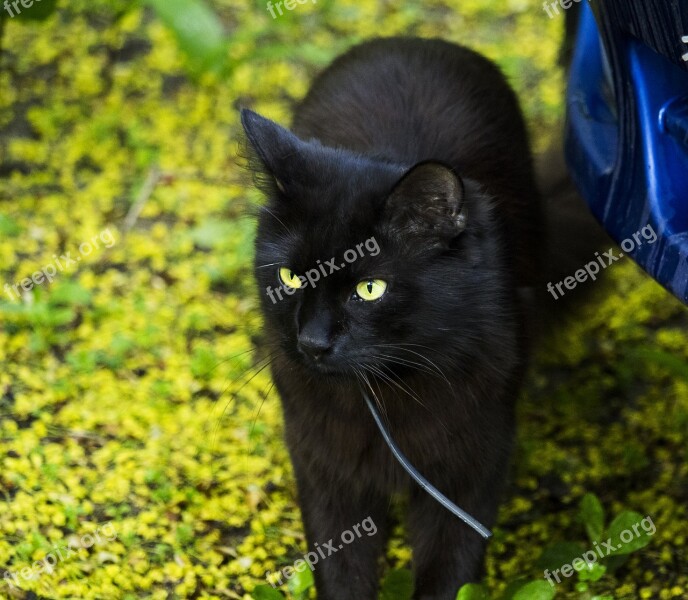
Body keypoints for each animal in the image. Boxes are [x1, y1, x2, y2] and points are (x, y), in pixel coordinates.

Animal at [241, 37, 544, 600]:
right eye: (290, 277)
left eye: (369, 289)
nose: (312, 342)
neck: (385, 391)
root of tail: (413, 41)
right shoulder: (324, 467)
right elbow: (342, 569)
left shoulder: (471, 469)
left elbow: (449, 571)